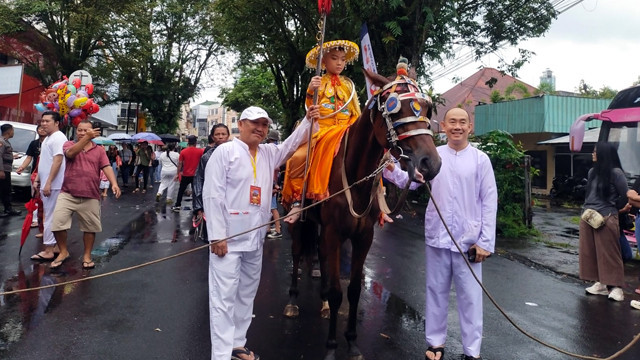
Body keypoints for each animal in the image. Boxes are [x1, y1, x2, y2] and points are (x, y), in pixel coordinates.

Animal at [284, 68, 440, 360]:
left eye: (427, 108)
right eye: (393, 108)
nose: (431, 163)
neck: (356, 174)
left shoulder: (363, 236)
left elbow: (354, 290)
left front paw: (353, 342)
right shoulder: (334, 233)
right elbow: (338, 292)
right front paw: (331, 346)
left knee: (319, 253)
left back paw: (322, 302)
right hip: (297, 217)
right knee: (298, 253)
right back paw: (293, 300)